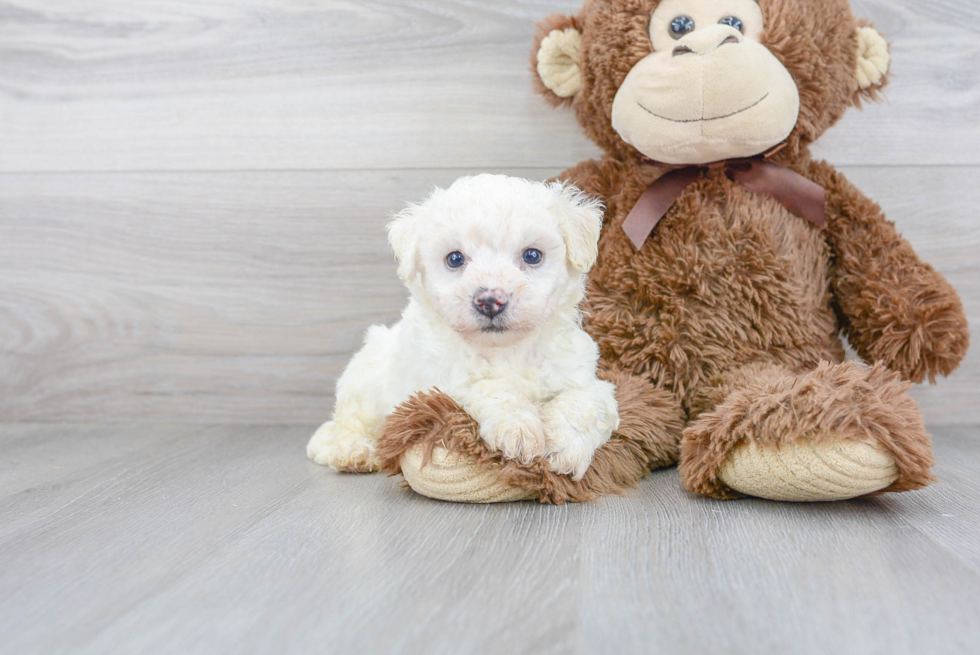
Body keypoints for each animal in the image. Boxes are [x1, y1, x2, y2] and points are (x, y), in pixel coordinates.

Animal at [306, 174, 616, 482]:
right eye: (454, 259)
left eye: (532, 255)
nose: (490, 301)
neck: (509, 350)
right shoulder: (441, 382)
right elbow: (488, 386)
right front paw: (518, 428)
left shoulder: (586, 378)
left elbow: (585, 402)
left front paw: (564, 446)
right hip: (365, 383)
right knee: (347, 424)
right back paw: (353, 451)